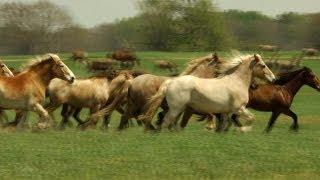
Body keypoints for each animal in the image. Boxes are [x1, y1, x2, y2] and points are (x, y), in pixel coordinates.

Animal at [139, 53, 276, 131]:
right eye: (263, 65)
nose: (274, 79)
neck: (237, 82)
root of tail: (170, 82)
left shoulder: (226, 112)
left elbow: (224, 124)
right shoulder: (239, 109)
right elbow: (251, 119)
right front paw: (243, 130)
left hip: (179, 109)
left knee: (168, 122)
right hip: (176, 109)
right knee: (166, 122)